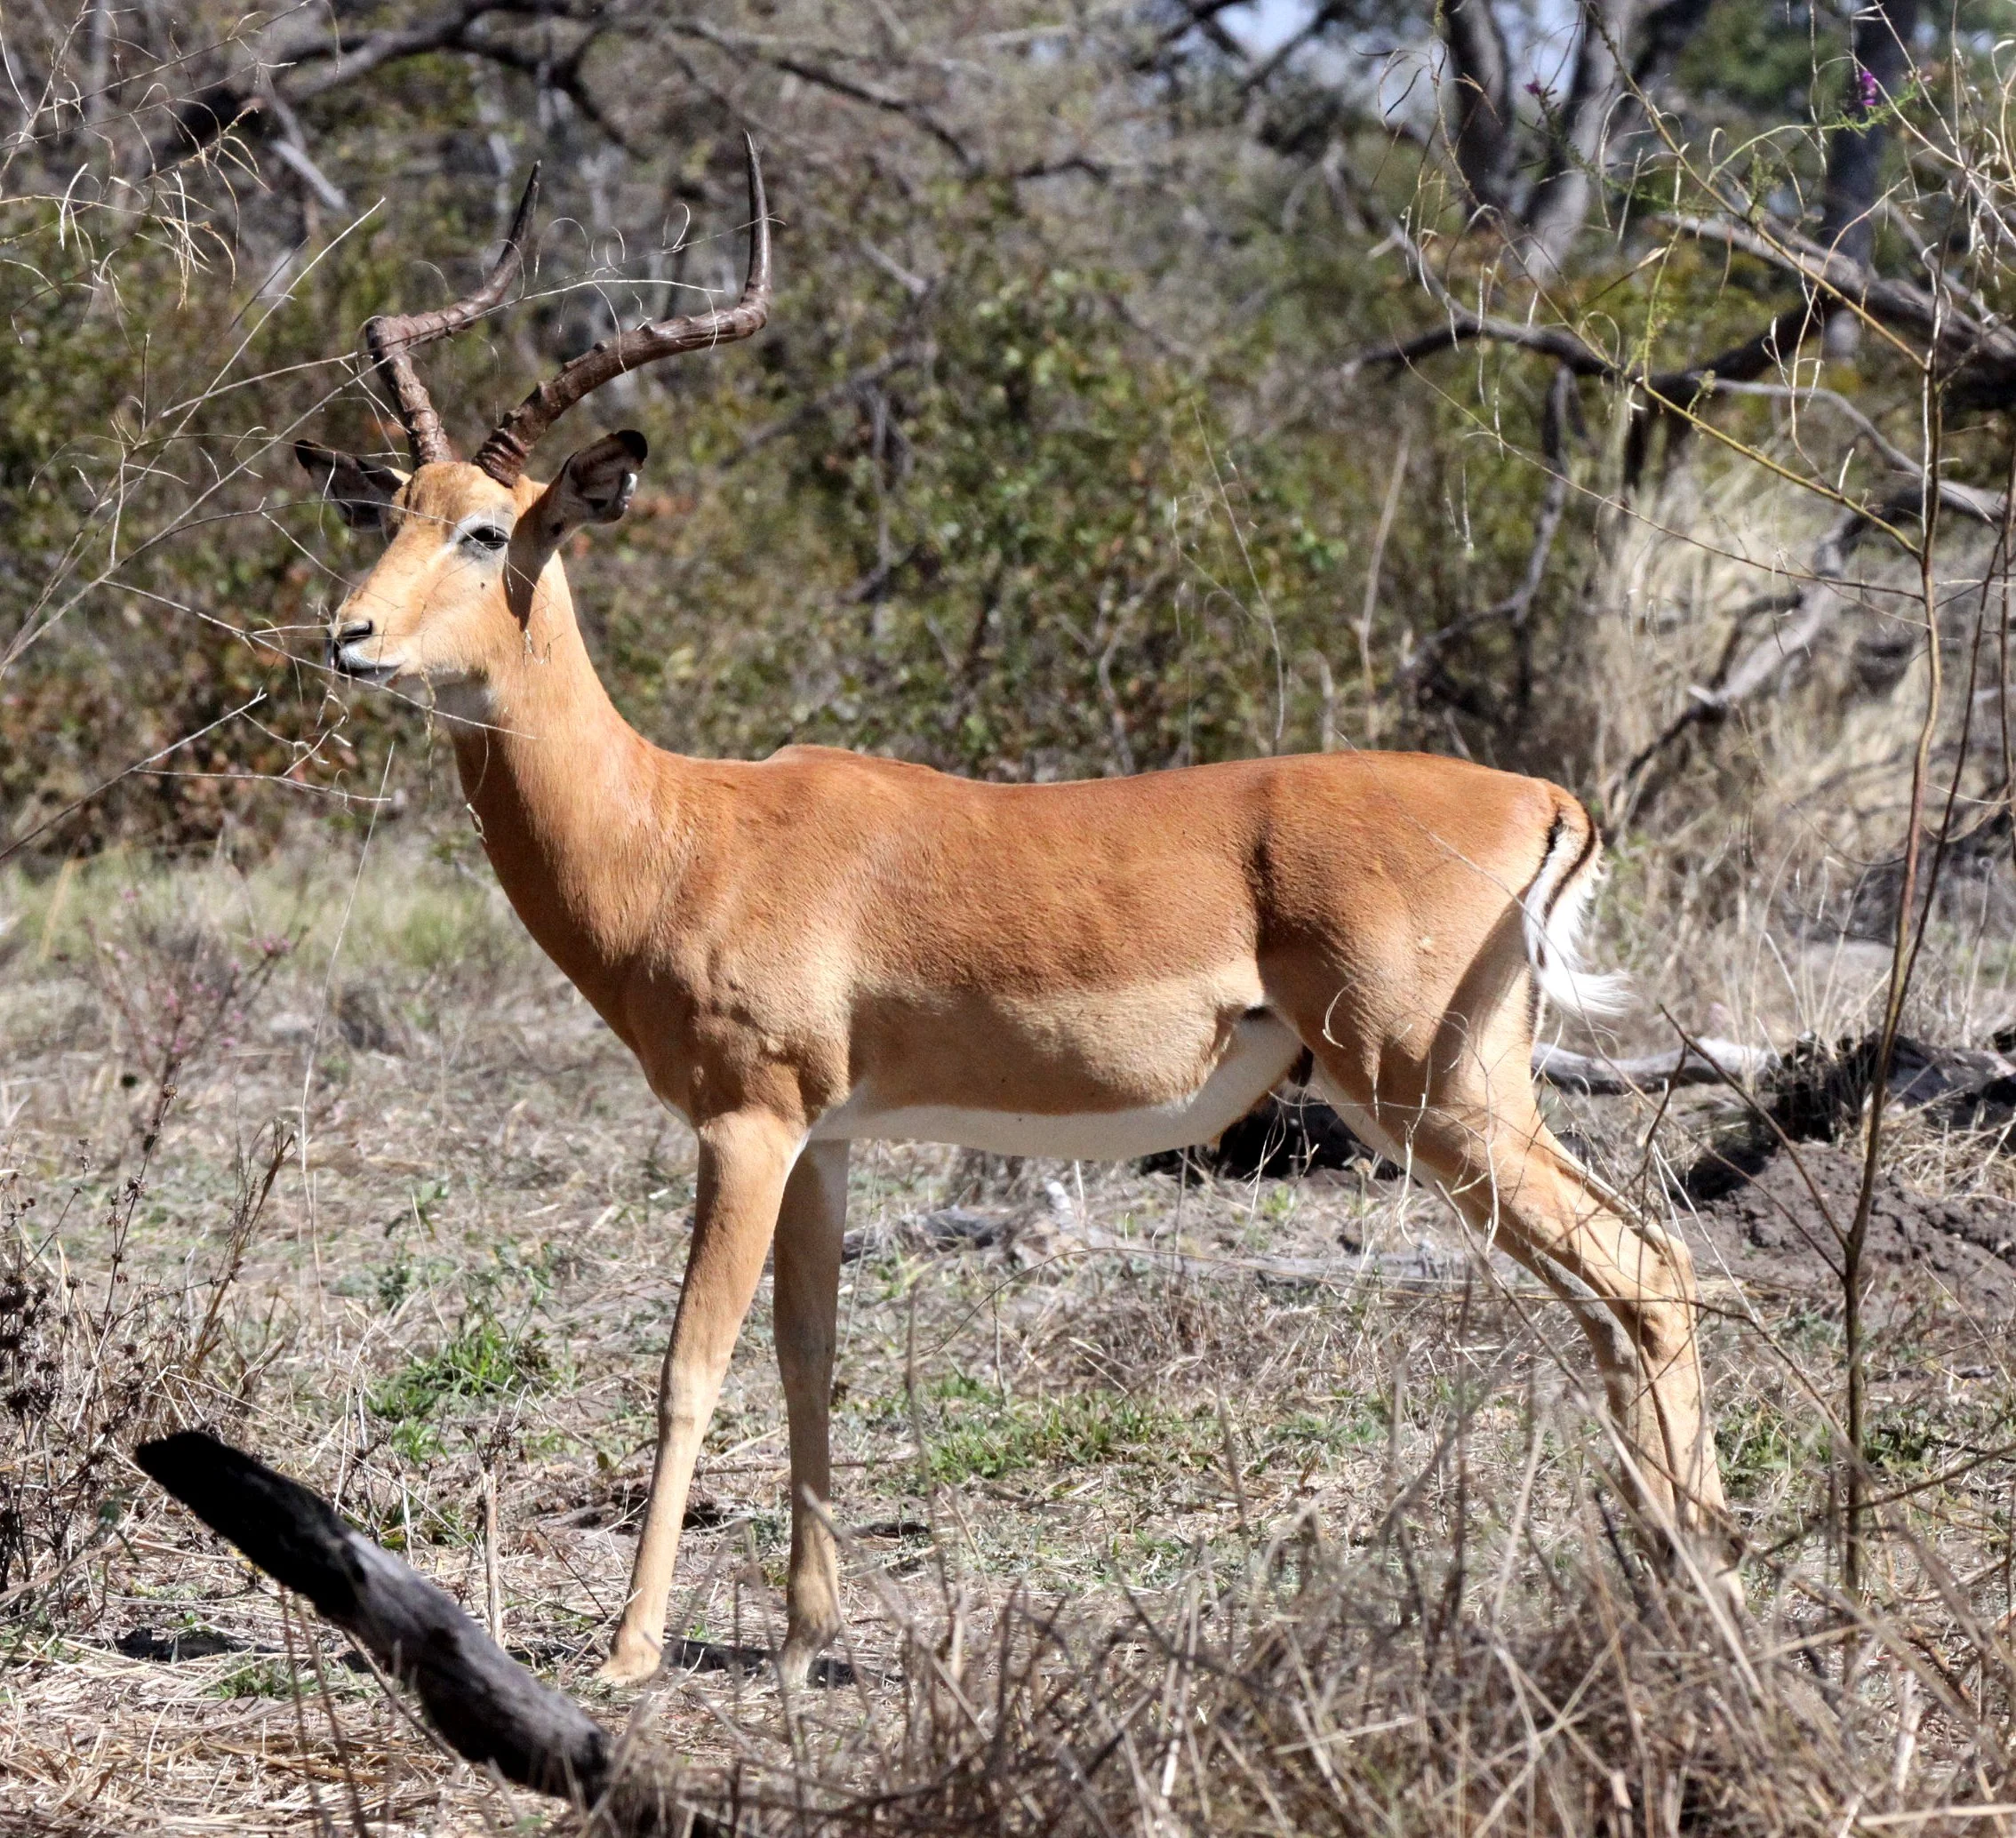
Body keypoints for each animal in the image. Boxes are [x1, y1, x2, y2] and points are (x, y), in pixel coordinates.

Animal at [299, 143, 1733, 1686]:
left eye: (487, 530)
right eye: (389, 509)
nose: (347, 637)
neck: (687, 832)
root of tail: (1543, 795)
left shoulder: (745, 1123)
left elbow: (690, 1364)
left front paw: (628, 1655)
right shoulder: (823, 1140)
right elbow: (810, 1354)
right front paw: (804, 1642)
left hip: (1435, 1098)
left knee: (1647, 1268)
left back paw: (1706, 1586)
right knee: (1621, 1293)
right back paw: (1679, 1578)